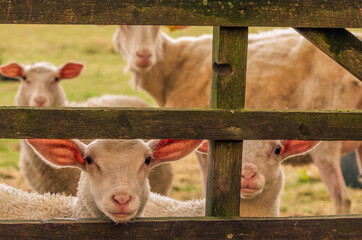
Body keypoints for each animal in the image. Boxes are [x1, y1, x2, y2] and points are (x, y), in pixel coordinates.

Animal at [113, 26, 362, 214]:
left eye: (156, 28)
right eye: (124, 26)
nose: (143, 57)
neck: (174, 65)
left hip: (326, 140)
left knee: (342, 199)